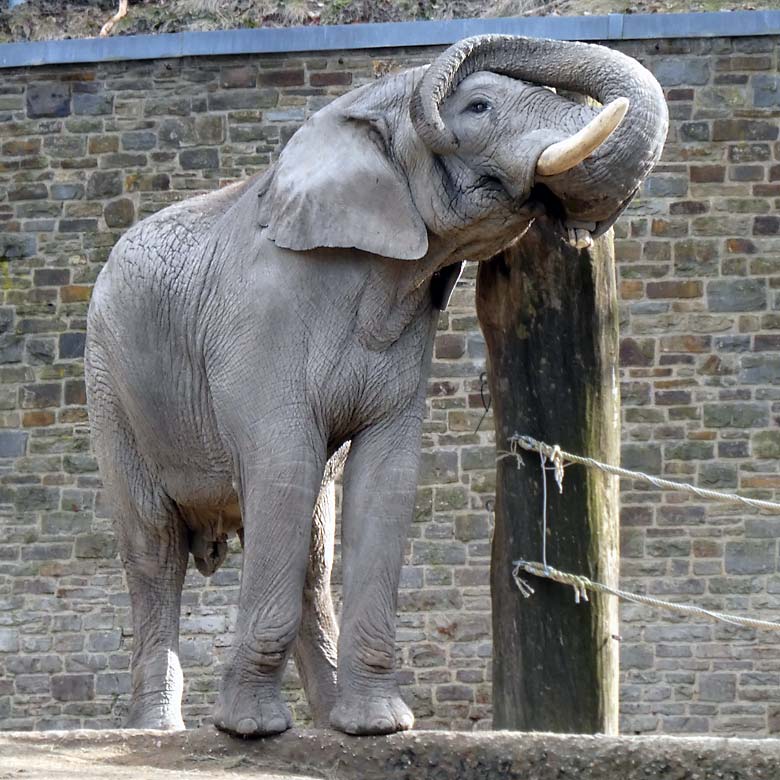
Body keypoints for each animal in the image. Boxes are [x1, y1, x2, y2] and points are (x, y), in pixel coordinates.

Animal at [85, 32, 664, 736]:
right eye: (477, 107)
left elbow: (385, 479)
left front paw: (379, 727)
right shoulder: (259, 323)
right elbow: (283, 467)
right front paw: (250, 731)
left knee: (311, 546)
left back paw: (326, 719)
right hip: (109, 384)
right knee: (156, 545)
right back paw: (158, 731)